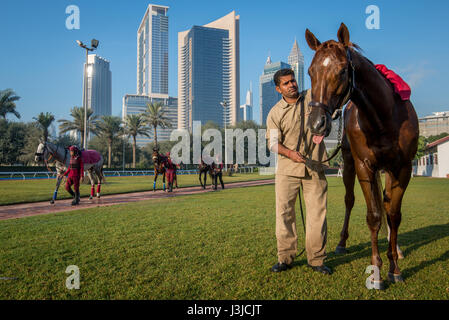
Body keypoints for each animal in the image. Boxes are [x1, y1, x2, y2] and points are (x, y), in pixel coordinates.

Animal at [302, 22, 418, 288]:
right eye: (311, 72)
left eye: (343, 70)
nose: (316, 123)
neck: (384, 117)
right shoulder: (364, 165)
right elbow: (373, 215)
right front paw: (376, 272)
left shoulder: (403, 167)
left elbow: (393, 214)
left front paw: (395, 267)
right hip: (349, 162)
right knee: (350, 200)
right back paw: (342, 243)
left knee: (386, 203)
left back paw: (396, 248)